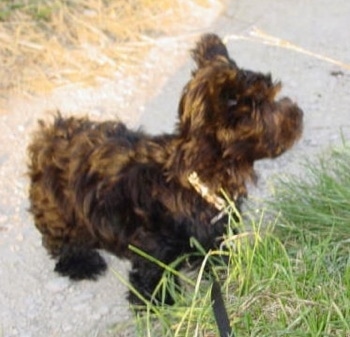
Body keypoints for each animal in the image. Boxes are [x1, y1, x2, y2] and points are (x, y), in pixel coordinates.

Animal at [27, 34, 304, 304]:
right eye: (265, 104)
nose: (299, 114)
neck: (195, 177)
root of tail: (49, 134)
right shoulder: (153, 251)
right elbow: (152, 280)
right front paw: (160, 303)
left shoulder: (213, 234)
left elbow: (217, 255)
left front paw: (223, 271)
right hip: (59, 209)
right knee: (58, 239)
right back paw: (81, 263)